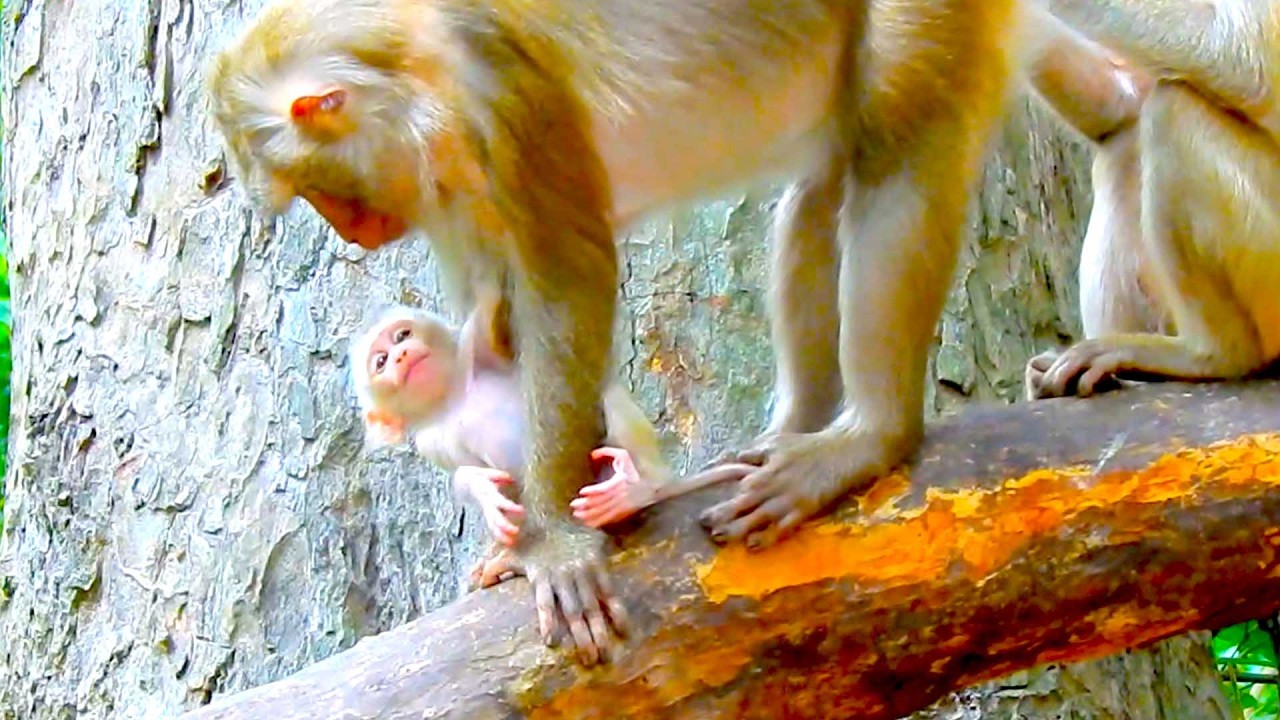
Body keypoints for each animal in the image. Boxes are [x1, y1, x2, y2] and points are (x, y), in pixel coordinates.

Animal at [348, 303, 676, 588]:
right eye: (381, 361)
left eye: (402, 335)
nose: (401, 355)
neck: (452, 397)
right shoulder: (431, 439)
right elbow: (475, 473)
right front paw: (479, 487)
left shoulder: (477, 343)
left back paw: (637, 488)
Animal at [1019, 0, 1280, 399]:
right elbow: (1121, 101)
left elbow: (1245, 59)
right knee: (1125, 140)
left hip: (1269, 256)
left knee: (1174, 109)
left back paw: (1214, 355)